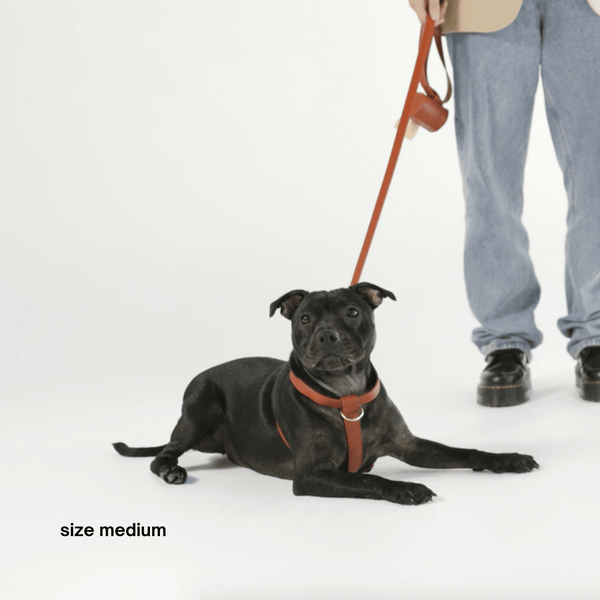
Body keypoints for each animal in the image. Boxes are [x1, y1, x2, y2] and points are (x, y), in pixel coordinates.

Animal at [113, 284, 540, 504]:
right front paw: (404, 487)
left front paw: (509, 459)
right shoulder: (312, 475)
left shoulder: (410, 445)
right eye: (304, 318)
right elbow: (370, 481)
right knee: (165, 452)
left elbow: (467, 452)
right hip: (201, 406)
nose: (326, 335)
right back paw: (171, 470)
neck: (345, 394)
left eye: (352, 312)